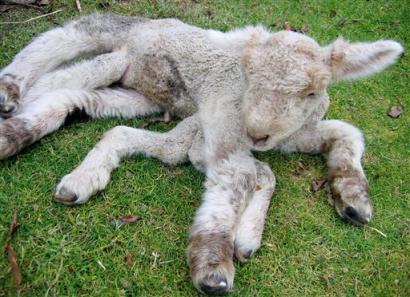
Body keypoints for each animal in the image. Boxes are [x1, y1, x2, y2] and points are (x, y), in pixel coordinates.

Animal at [0, 12, 404, 292]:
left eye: (310, 92)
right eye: (249, 77)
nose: (257, 132)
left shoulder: (288, 133)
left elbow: (345, 133)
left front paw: (353, 198)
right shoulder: (221, 126)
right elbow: (239, 178)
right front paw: (213, 263)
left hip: (139, 96)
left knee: (84, 103)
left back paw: (71, 169)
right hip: (117, 47)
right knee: (61, 48)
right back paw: (10, 97)